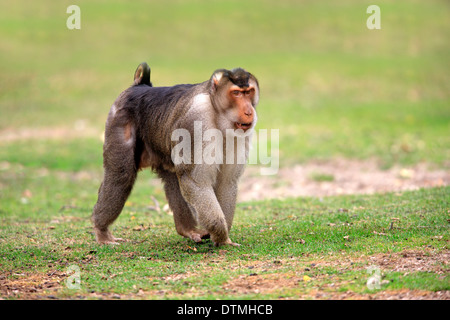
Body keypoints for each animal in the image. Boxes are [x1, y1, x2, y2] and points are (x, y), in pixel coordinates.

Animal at [90, 62, 260, 248]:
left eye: (248, 92)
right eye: (236, 93)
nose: (249, 112)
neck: (217, 111)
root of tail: (139, 86)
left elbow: (227, 182)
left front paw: (223, 237)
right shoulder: (196, 120)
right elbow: (196, 181)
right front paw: (220, 236)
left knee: (172, 174)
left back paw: (186, 229)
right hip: (119, 119)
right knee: (120, 176)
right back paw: (102, 230)